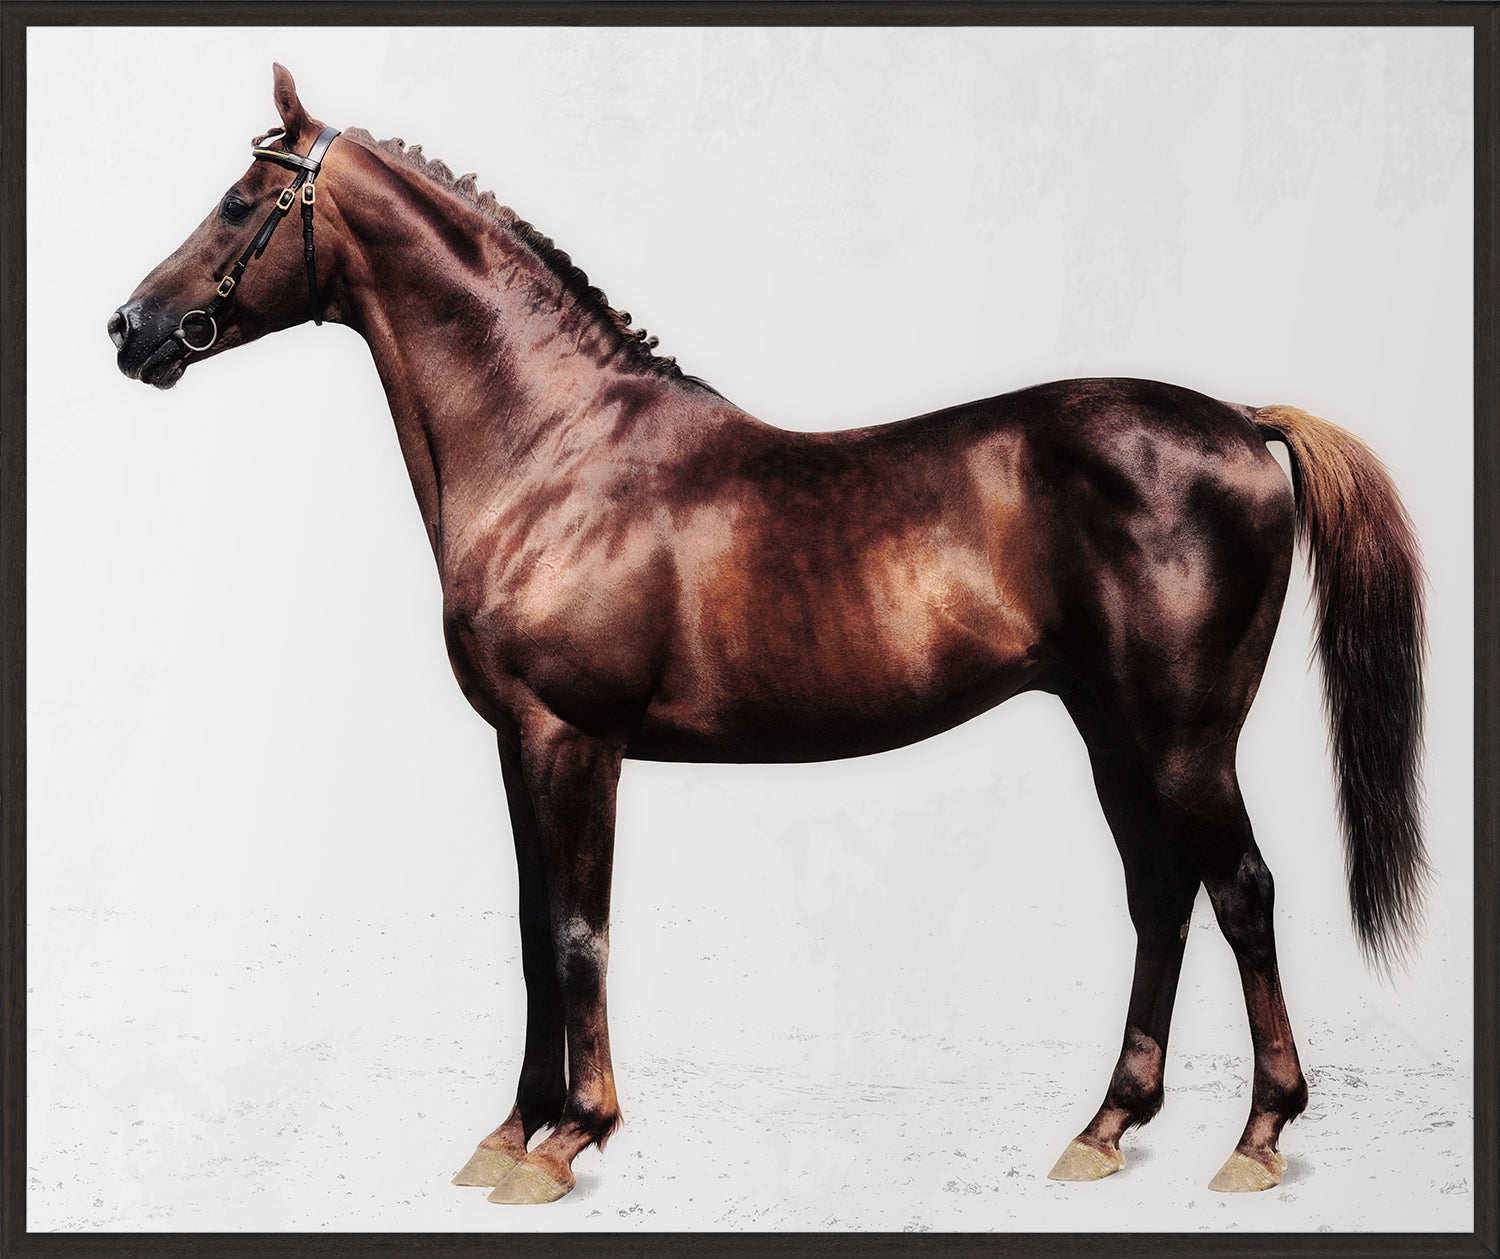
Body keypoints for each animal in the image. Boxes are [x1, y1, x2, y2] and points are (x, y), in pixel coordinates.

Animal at [108, 65, 1427, 1207]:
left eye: (241, 200)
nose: (129, 327)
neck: (556, 448)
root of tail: (1241, 421)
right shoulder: (516, 744)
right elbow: (534, 932)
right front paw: (507, 1131)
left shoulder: (574, 739)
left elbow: (579, 933)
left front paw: (571, 1137)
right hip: (1113, 730)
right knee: (1161, 892)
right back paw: (1104, 1128)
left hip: (1184, 736)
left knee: (1242, 889)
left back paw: (1256, 1138)